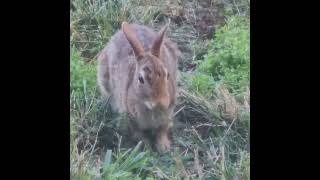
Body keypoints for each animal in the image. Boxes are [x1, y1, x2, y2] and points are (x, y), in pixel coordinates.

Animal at [97, 22, 180, 152]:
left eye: (167, 75)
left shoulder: (167, 116)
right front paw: (147, 148)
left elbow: (162, 131)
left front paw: (163, 147)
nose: (160, 103)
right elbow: (139, 135)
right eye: (141, 79)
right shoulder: (131, 119)